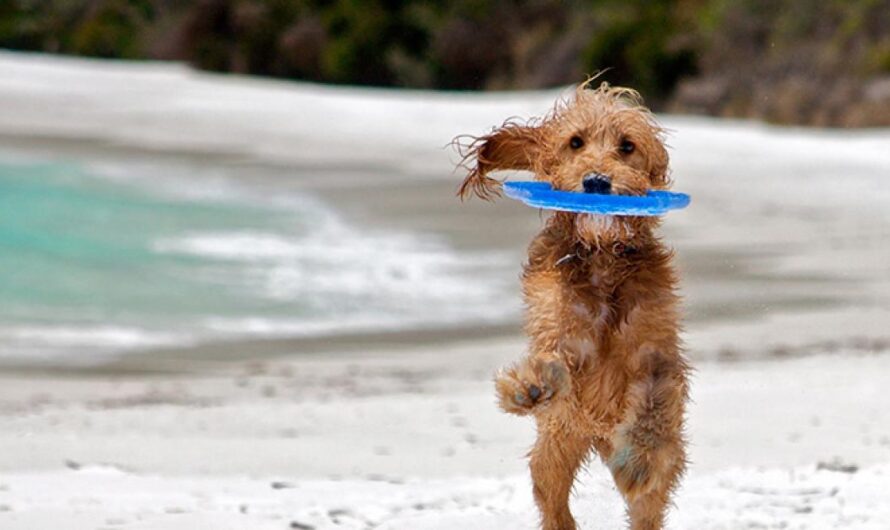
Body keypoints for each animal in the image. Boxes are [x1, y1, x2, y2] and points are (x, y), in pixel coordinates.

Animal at [458, 82, 688, 528]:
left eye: (627, 146)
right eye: (575, 142)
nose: (596, 181)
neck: (603, 259)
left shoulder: (656, 353)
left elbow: (652, 405)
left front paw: (639, 460)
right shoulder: (562, 331)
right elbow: (554, 361)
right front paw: (529, 385)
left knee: (648, 504)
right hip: (559, 443)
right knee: (551, 494)